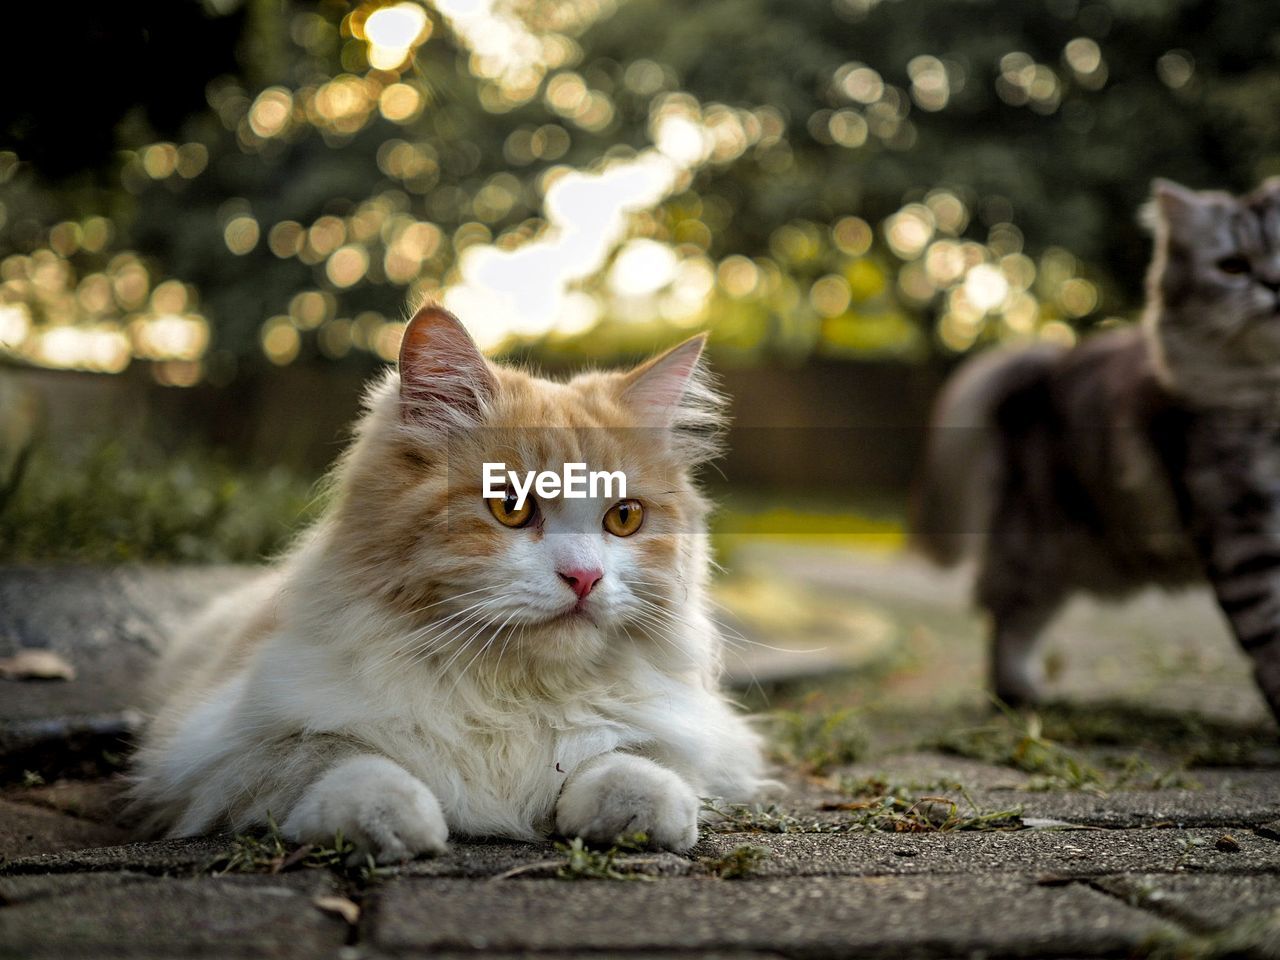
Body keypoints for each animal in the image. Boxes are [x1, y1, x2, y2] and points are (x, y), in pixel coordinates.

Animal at [132, 304, 768, 860]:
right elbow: (341, 761)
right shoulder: (223, 745)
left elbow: (616, 758)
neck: (508, 692)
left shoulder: (674, 731)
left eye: (625, 518)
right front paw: (390, 820)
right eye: (511, 507)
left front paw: (640, 809)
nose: (585, 577)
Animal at [916, 179, 1280, 721]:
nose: (1274, 283)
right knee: (1005, 615)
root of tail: (1044, 369)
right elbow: (1269, 627)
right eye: (1233, 266)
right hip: (1041, 550)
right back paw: (1016, 696)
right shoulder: (1240, 525)